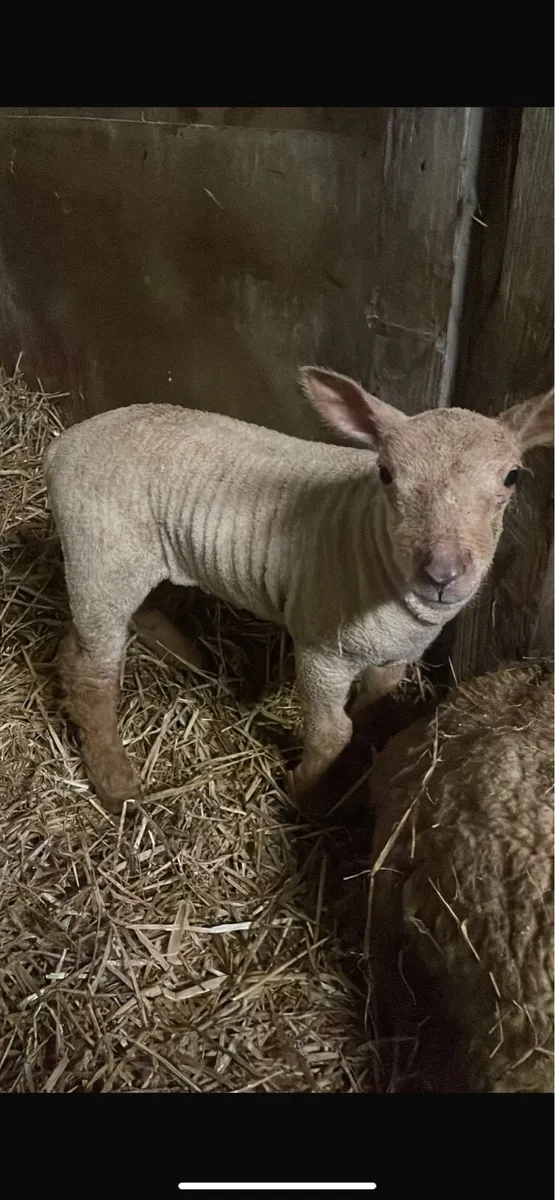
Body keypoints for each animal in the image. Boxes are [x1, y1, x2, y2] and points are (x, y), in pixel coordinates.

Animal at [42, 367, 554, 813]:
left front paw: (353, 768)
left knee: (132, 617)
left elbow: (371, 708)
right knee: (89, 669)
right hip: (102, 552)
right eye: (386, 473)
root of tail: (64, 442)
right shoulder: (322, 651)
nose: (443, 573)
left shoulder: (397, 656)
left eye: (511, 477)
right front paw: (305, 794)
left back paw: (190, 658)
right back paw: (116, 781)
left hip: (142, 558)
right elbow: (331, 732)